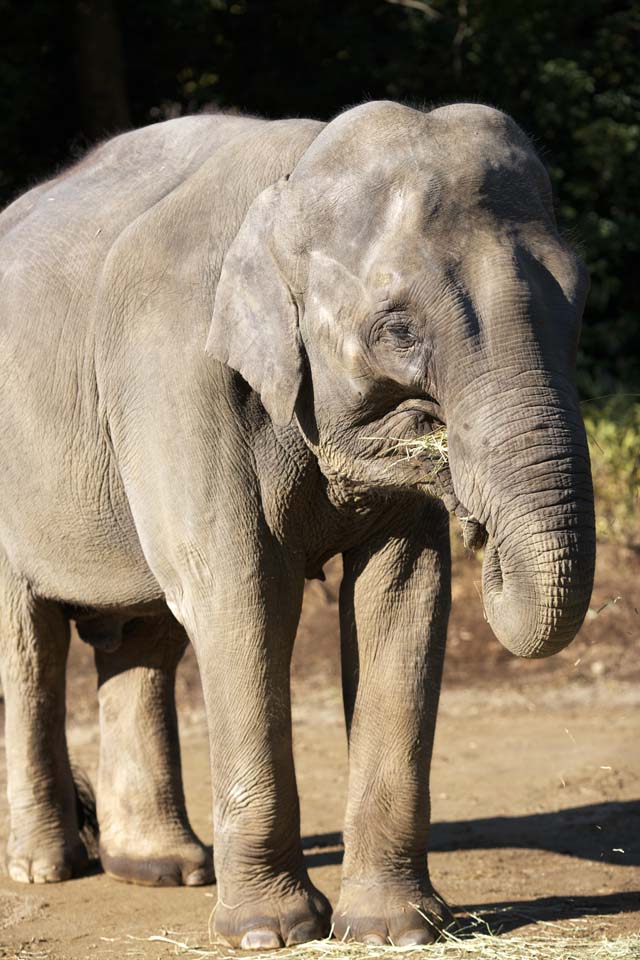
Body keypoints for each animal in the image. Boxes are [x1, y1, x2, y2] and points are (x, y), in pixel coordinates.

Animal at [0, 99, 596, 944]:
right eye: (398, 329)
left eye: (578, 306)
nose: (478, 522)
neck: (293, 179)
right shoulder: (178, 376)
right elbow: (244, 596)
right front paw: (270, 933)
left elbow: (405, 600)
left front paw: (394, 930)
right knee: (32, 646)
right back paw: (46, 867)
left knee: (144, 638)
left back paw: (163, 868)